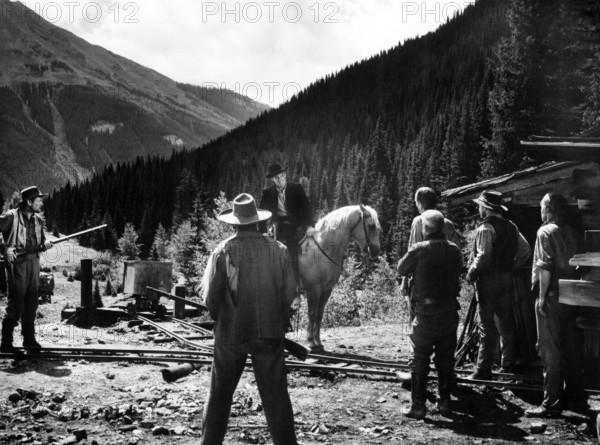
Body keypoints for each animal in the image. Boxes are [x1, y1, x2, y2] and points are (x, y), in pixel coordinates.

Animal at [298, 203, 382, 352]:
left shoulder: (326, 290)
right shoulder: (313, 289)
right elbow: (312, 314)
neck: (322, 249)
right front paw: (311, 342)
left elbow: (319, 315)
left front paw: (318, 342)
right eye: (371, 225)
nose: (376, 250)